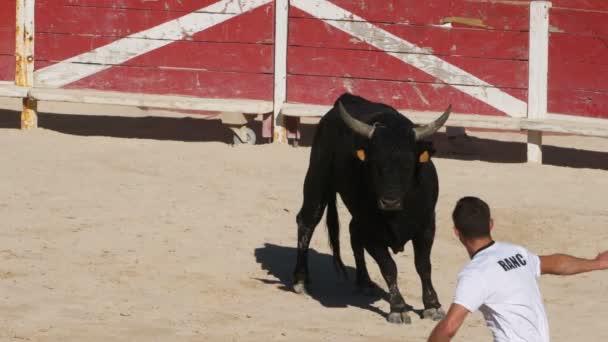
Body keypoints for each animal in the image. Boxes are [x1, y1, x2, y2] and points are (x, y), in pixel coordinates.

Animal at [292, 93, 454, 324]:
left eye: (408, 164)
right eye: (375, 164)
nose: (389, 201)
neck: (397, 215)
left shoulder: (426, 228)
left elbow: (423, 266)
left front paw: (432, 305)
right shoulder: (372, 233)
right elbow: (389, 267)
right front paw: (398, 308)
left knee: (352, 231)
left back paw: (364, 281)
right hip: (317, 179)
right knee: (307, 222)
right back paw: (301, 280)